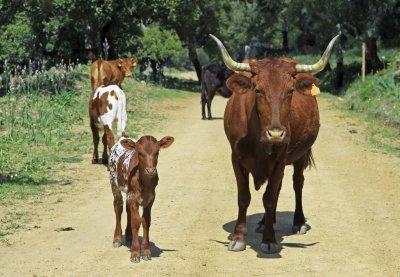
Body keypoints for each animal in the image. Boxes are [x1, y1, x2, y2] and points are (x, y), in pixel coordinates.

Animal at [209, 34, 338, 252]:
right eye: (258, 90)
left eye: (290, 91)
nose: (276, 134)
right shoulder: (236, 158)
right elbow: (244, 197)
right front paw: (238, 237)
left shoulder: (280, 158)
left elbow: (268, 198)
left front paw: (269, 239)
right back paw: (263, 222)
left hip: (300, 155)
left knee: (297, 182)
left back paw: (298, 222)